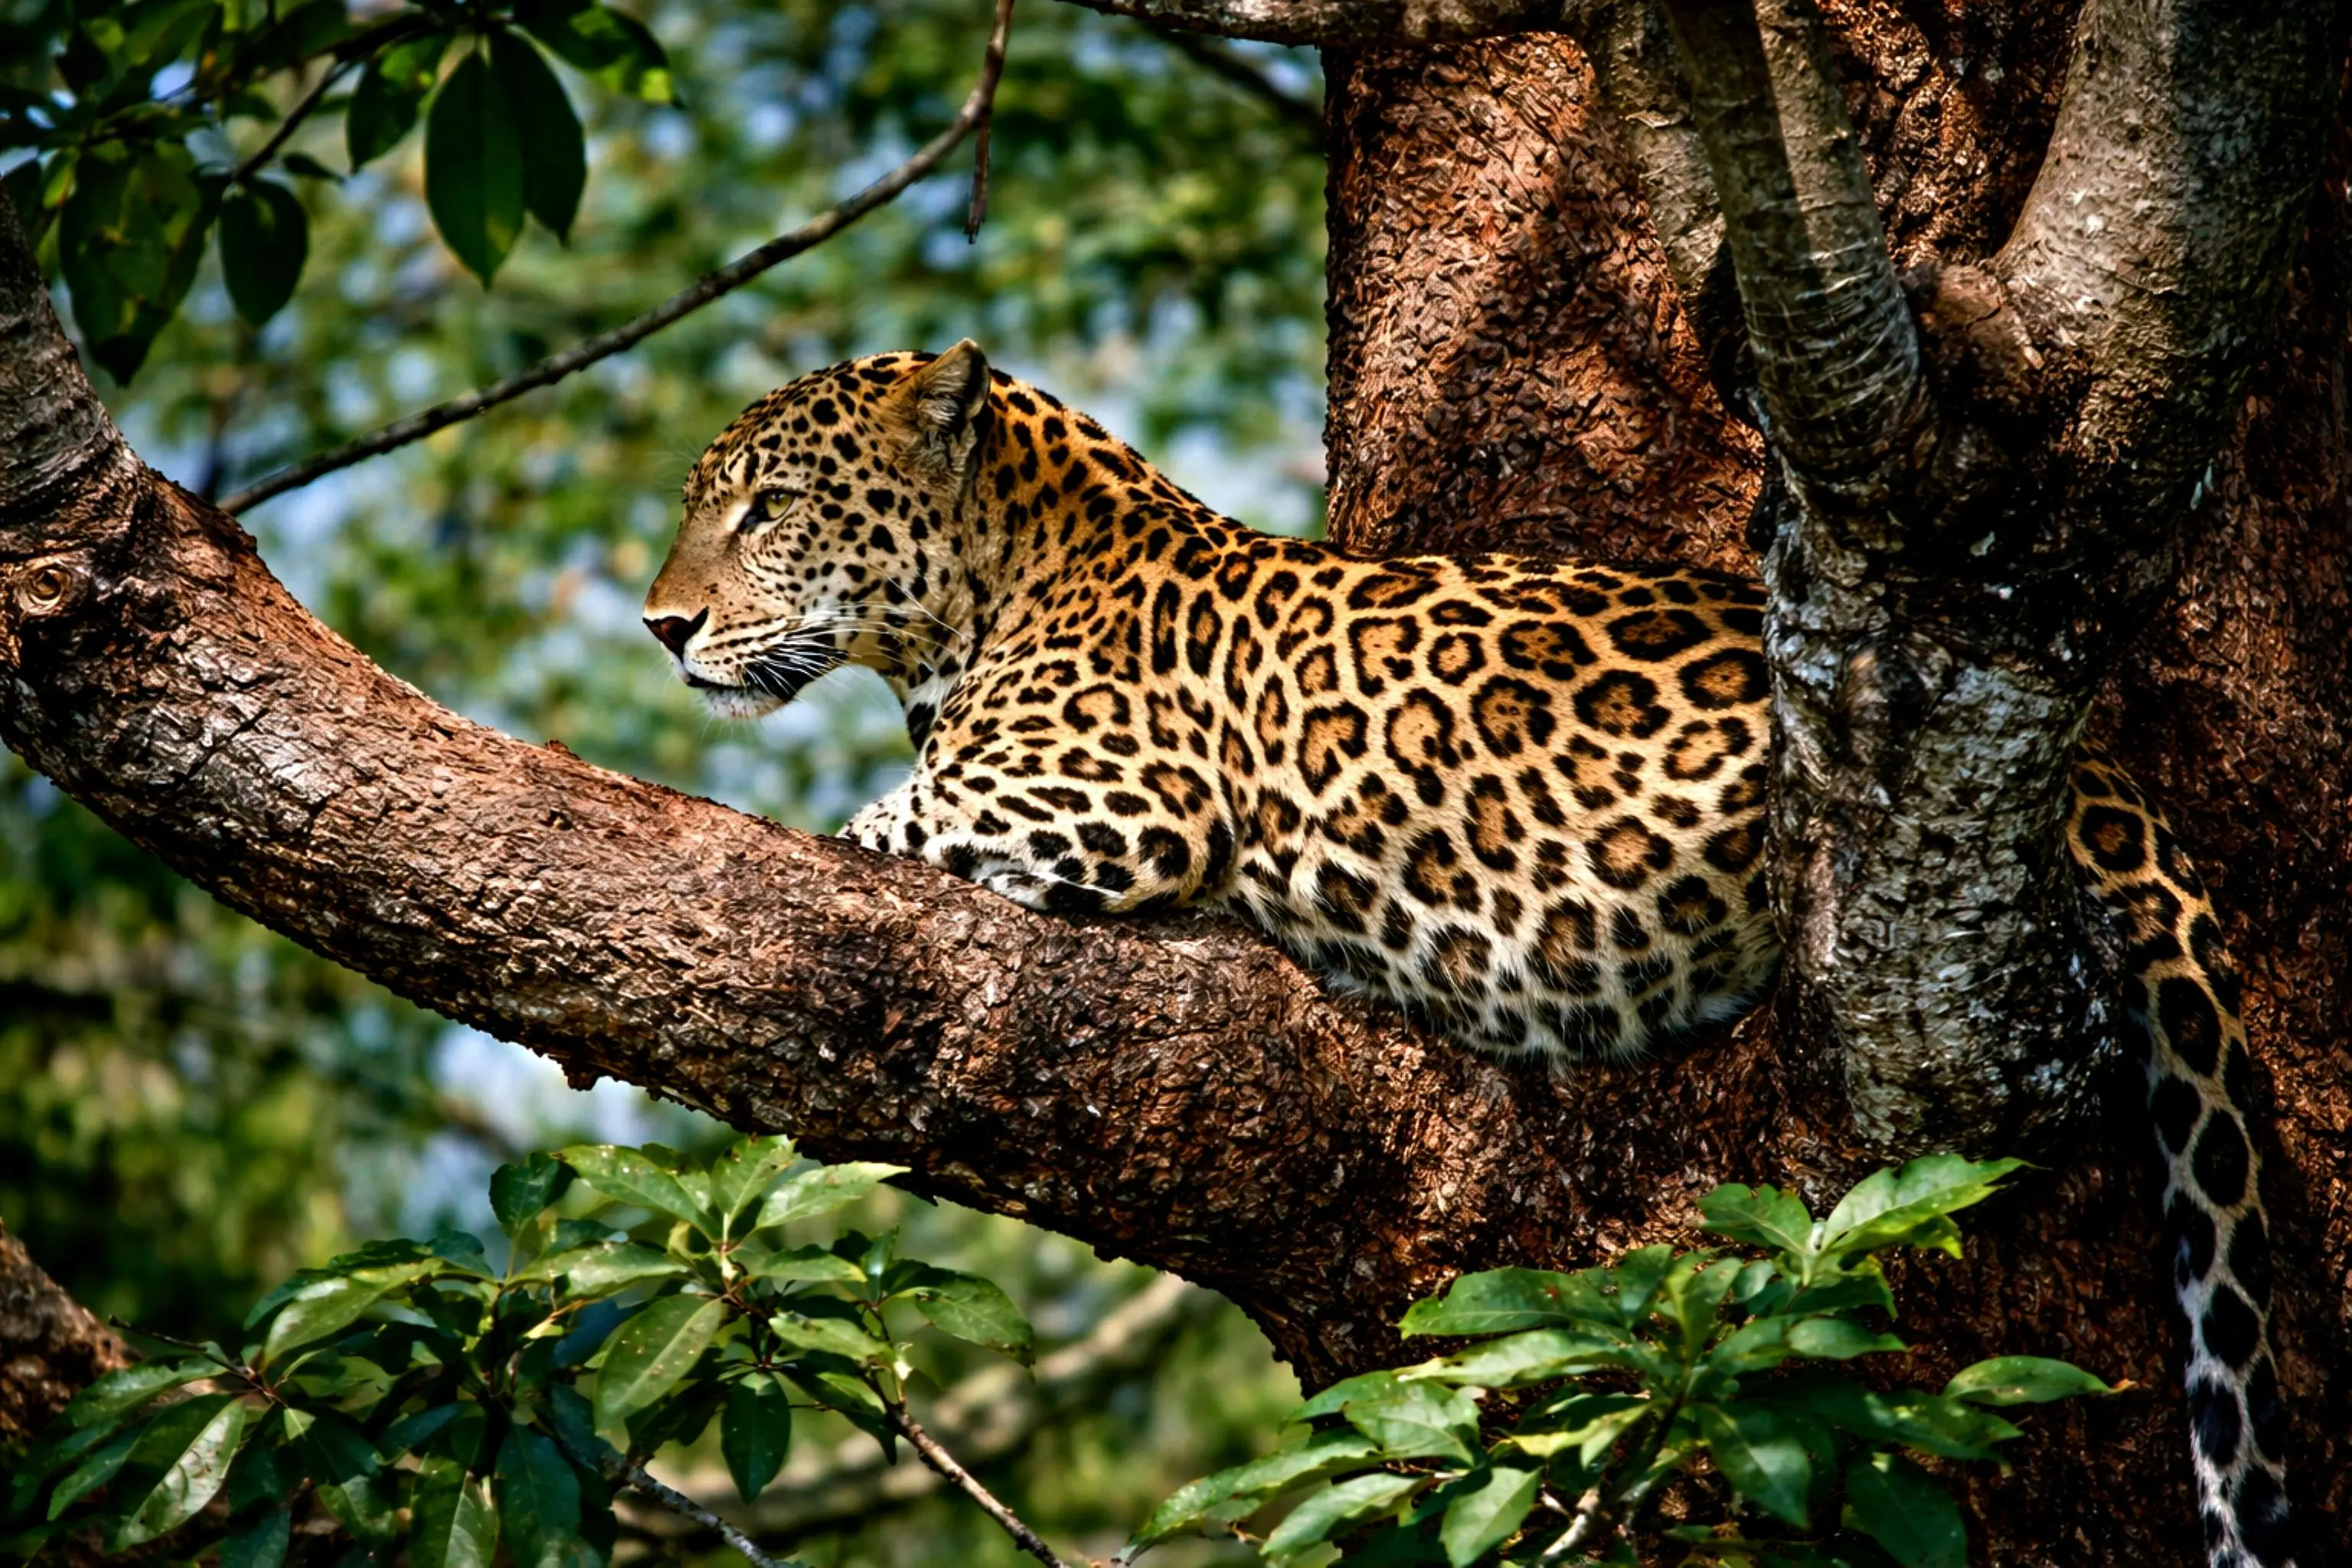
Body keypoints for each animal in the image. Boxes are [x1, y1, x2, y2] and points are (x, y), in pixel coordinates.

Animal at [642, 342, 2293, 1568]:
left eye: (767, 507)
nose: (661, 627)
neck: (990, 589)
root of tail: (2101, 777)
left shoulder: (1109, 799)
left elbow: (859, 827)